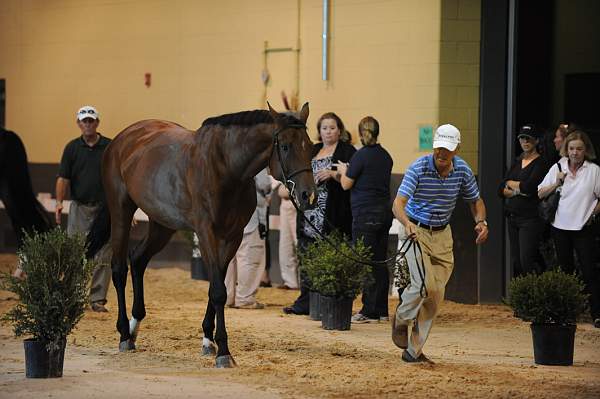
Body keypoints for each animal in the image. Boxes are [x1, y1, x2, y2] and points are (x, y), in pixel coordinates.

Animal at [89, 103, 316, 368]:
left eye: (311, 145)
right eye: (286, 146)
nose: (308, 195)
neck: (226, 167)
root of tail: (121, 139)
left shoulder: (232, 237)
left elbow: (217, 285)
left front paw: (209, 340)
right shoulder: (206, 232)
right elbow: (218, 290)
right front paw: (224, 352)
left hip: (162, 223)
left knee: (137, 259)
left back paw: (135, 327)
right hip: (121, 212)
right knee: (119, 269)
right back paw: (124, 333)